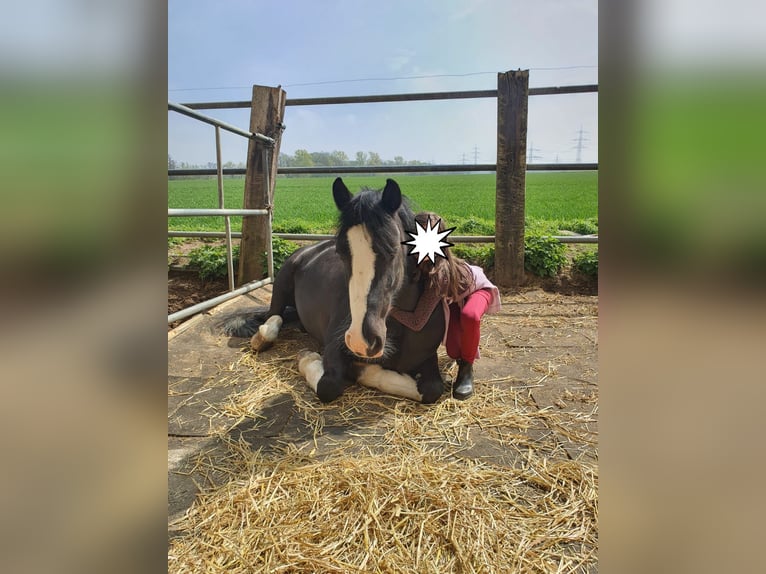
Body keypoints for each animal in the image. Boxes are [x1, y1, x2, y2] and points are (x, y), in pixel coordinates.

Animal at [222, 179, 448, 404]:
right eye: (340, 252)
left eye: (392, 250)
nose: (360, 340)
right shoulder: (333, 347)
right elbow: (328, 386)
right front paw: (308, 357)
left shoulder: (428, 359)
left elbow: (433, 389)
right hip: (281, 285)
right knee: (273, 316)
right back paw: (262, 338)